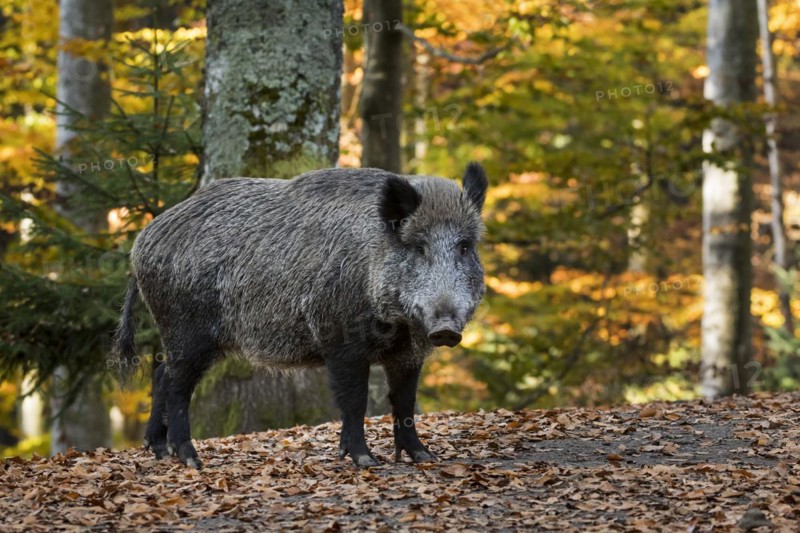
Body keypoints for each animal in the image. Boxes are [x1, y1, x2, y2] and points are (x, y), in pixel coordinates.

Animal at [113, 163, 488, 469]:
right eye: (419, 247)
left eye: (464, 247)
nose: (445, 329)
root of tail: (140, 245)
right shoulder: (340, 340)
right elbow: (355, 400)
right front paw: (365, 461)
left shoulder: (407, 353)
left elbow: (405, 403)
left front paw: (425, 457)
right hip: (187, 330)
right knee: (177, 385)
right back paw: (190, 459)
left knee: (161, 373)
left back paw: (160, 452)